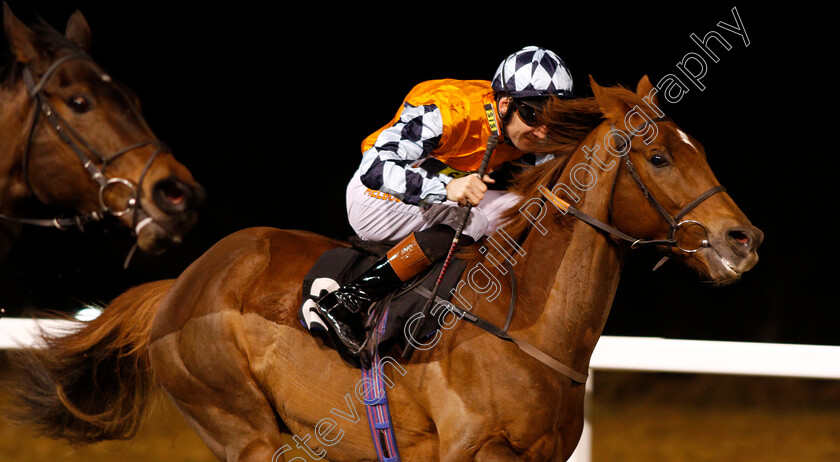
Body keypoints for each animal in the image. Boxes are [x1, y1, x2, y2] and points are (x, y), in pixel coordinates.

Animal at [6, 76, 764, 458]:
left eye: (697, 149)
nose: (744, 238)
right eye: (659, 156)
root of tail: (181, 284)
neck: (524, 326)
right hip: (242, 428)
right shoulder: (468, 453)